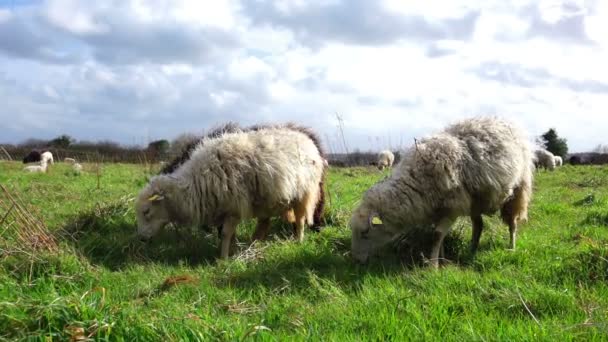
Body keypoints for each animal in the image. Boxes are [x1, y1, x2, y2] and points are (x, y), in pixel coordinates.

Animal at [137, 127, 328, 258]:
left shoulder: (234, 207)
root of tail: (308, 141)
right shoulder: (225, 209)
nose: (141, 239)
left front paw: (222, 259)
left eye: (146, 211)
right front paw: (232, 251)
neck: (194, 185)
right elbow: (230, 234)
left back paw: (298, 241)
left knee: (300, 220)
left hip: (303, 194)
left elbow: (225, 234)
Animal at [350, 117, 536, 268]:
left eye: (365, 233)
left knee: (512, 222)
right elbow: (440, 237)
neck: (415, 180)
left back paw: (511, 247)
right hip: (475, 200)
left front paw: (432, 266)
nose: (357, 261)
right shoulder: (438, 209)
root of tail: (506, 121)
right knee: (479, 225)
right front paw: (442, 259)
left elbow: (437, 235)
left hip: (518, 190)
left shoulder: (452, 207)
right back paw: (471, 250)